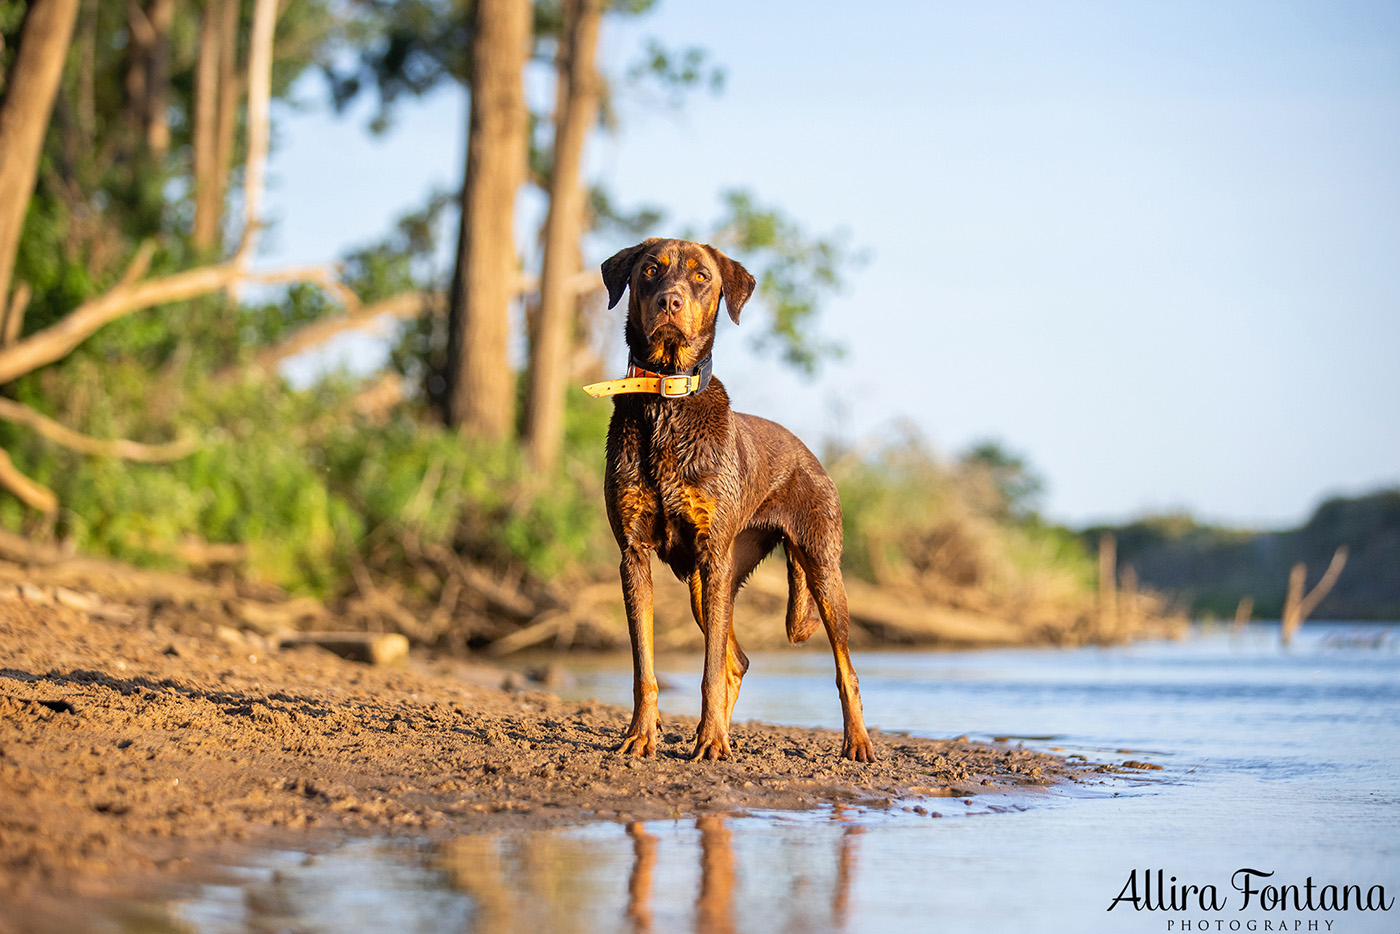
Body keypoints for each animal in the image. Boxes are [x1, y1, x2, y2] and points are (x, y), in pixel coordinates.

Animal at [590, 239, 873, 761]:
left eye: (701, 276)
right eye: (650, 270)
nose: (670, 302)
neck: (667, 400)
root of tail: (811, 456)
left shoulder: (712, 553)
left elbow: (708, 671)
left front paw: (712, 742)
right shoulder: (633, 555)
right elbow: (645, 666)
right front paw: (641, 735)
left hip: (819, 570)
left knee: (845, 668)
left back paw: (857, 742)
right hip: (707, 586)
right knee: (736, 661)